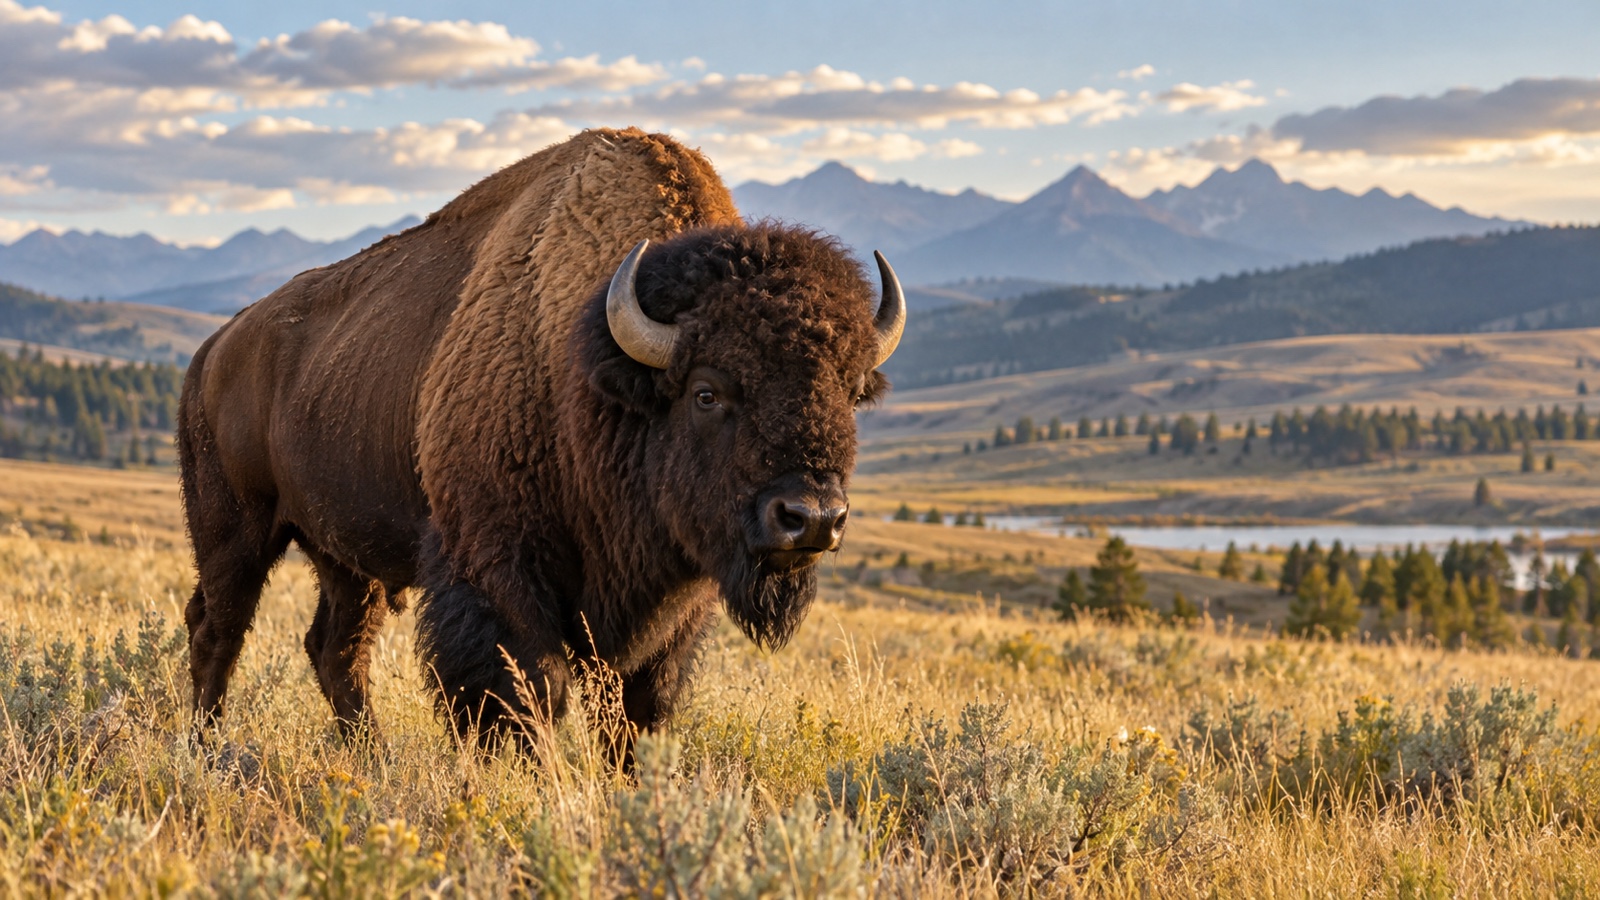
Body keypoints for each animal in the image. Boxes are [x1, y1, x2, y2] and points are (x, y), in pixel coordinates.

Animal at [177, 127, 904, 749]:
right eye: (707, 392)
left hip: (345, 557)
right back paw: (206, 750)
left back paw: (368, 757)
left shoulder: (671, 606)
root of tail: (215, 348)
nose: (810, 518)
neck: (592, 367)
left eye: (850, 391)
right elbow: (528, 697)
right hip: (236, 532)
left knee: (336, 649)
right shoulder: (497, 570)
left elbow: (636, 710)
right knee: (218, 631)